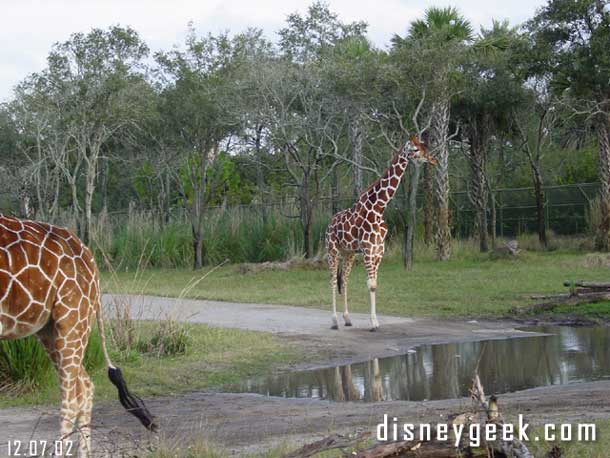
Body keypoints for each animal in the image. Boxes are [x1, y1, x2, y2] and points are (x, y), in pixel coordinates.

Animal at [326, 134, 434, 330]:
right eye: (415, 149)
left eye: (424, 147)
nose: (432, 160)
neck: (378, 208)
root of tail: (329, 223)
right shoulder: (368, 251)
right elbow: (370, 285)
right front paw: (373, 324)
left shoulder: (378, 251)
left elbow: (374, 284)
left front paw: (374, 321)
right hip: (332, 251)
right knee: (332, 280)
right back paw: (335, 321)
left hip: (348, 253)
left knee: (343, 280)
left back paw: (347, 319)